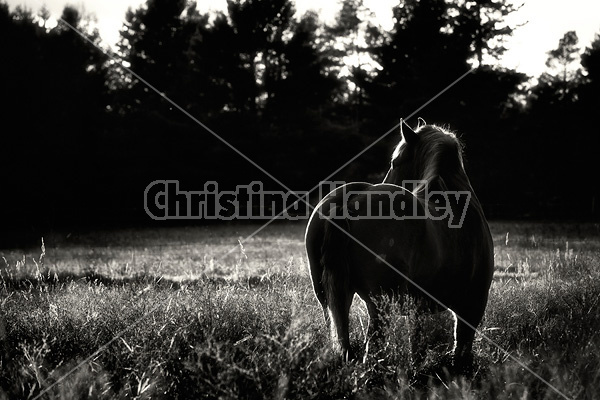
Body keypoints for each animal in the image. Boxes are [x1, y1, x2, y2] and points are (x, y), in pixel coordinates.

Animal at [304, 121, 492, 366]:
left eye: (395, 161)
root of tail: (352, 199)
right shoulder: (473, 304)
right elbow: (460, 343)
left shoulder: (419, 307)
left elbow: (417, 341)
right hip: (379, 304)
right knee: (372, 344)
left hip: (328, 296)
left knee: (339, 333)